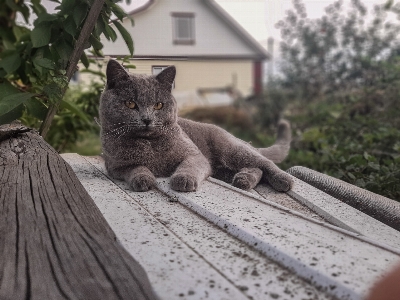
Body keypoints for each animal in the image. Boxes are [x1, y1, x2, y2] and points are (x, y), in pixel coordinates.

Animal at [100, 59, 294, 193]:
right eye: (130, 104)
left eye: (158, 105)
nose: (147, 119)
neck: (149, 144)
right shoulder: (116, 167)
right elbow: (135, 168)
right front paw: (143, 179)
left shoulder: (194, 155)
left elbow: (189, 165)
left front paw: (183, 180)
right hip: (222, 168)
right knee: (254, 168)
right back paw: (243, 180)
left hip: (231, 149)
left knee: (264, 162)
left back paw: (282, 180)